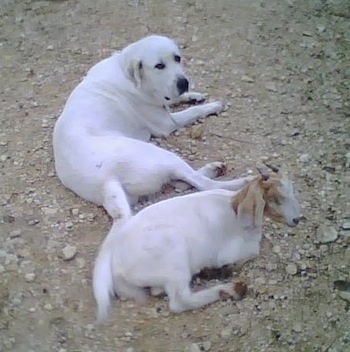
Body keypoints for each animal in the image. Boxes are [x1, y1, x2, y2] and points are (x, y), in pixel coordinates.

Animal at [52, 34, 253, 219]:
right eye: (159, 66)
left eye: (177, 58)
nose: (184, 83)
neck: (126, 72)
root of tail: (106, 183)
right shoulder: (167, 122)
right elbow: (193, 111)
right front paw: (212, 106)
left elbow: (174, 99)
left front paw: (193, 95)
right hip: (161, 155)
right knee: (202, 183)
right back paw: (243, 181)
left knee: (183, 180)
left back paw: (213, 169)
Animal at [93, 166, 300, 320]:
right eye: (277, 198)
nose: (297, 219)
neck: (233, 208)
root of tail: (117, 267)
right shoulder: (234, 250)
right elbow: (251, 253)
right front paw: (222, 270)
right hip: (173, 254)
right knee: (180, 300)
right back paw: (232, 289)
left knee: (159, 290)